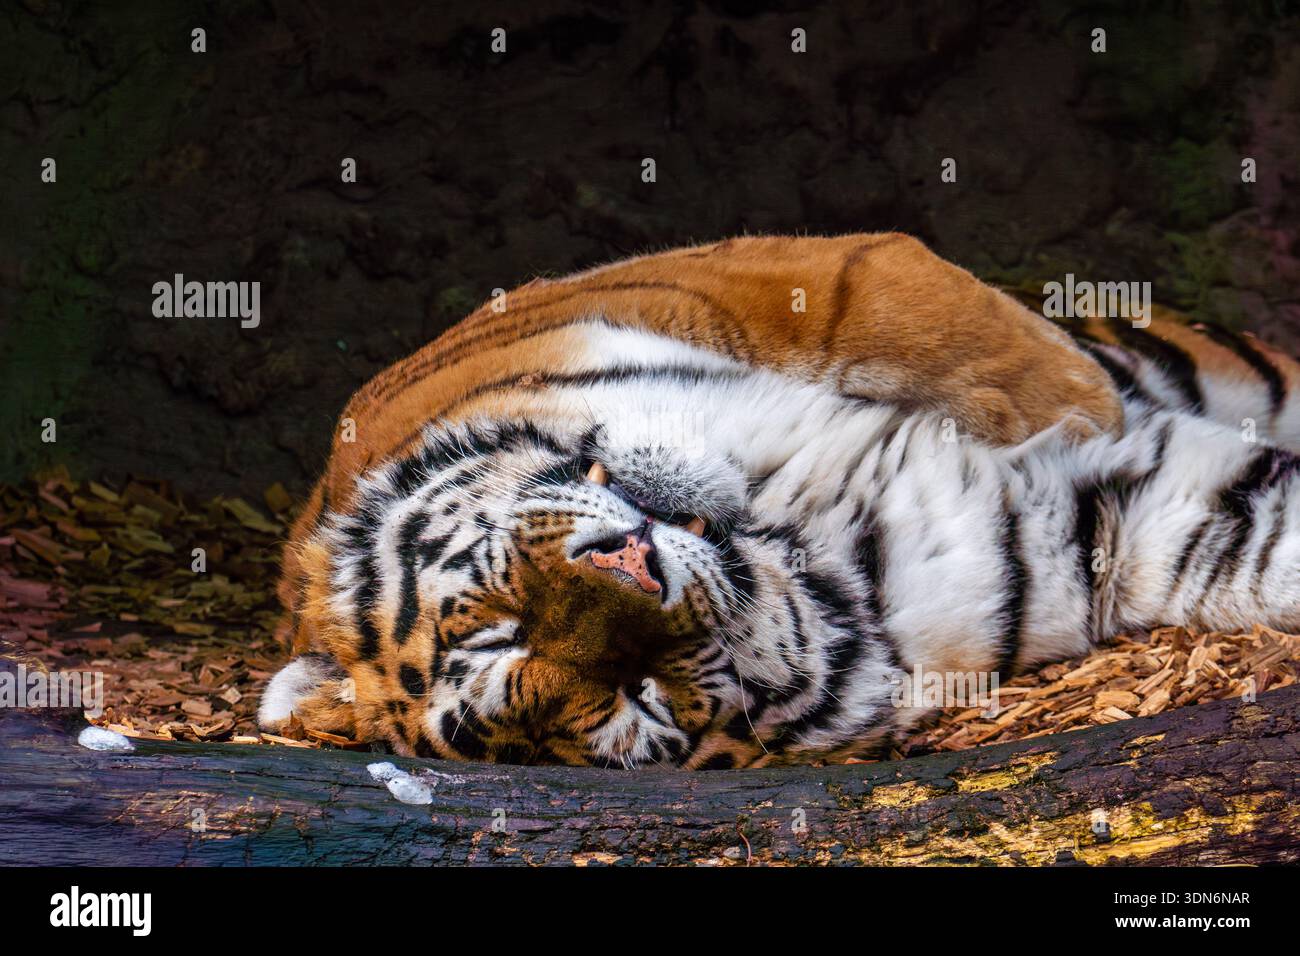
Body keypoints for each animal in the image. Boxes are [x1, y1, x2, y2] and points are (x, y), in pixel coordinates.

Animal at [258, 233, 1300, 768]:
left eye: (496, 628)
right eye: (632, 699)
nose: (636, 567)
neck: (799, 535)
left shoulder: (772, 278)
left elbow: (924, 314)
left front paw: (1078, 404)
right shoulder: (1094, 531)